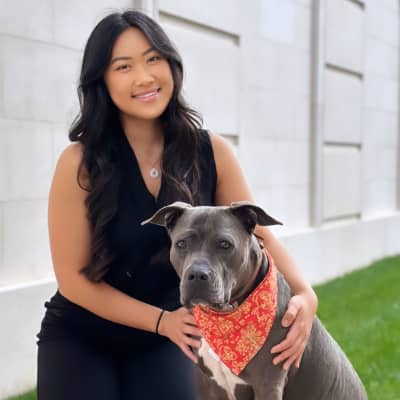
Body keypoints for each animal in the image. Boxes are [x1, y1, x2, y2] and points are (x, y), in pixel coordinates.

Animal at [142, 201, 367, 400]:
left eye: (225, 244)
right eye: (181, 244)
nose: (197, 275)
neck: (225, 317)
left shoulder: (267, 385)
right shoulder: (208, 385)